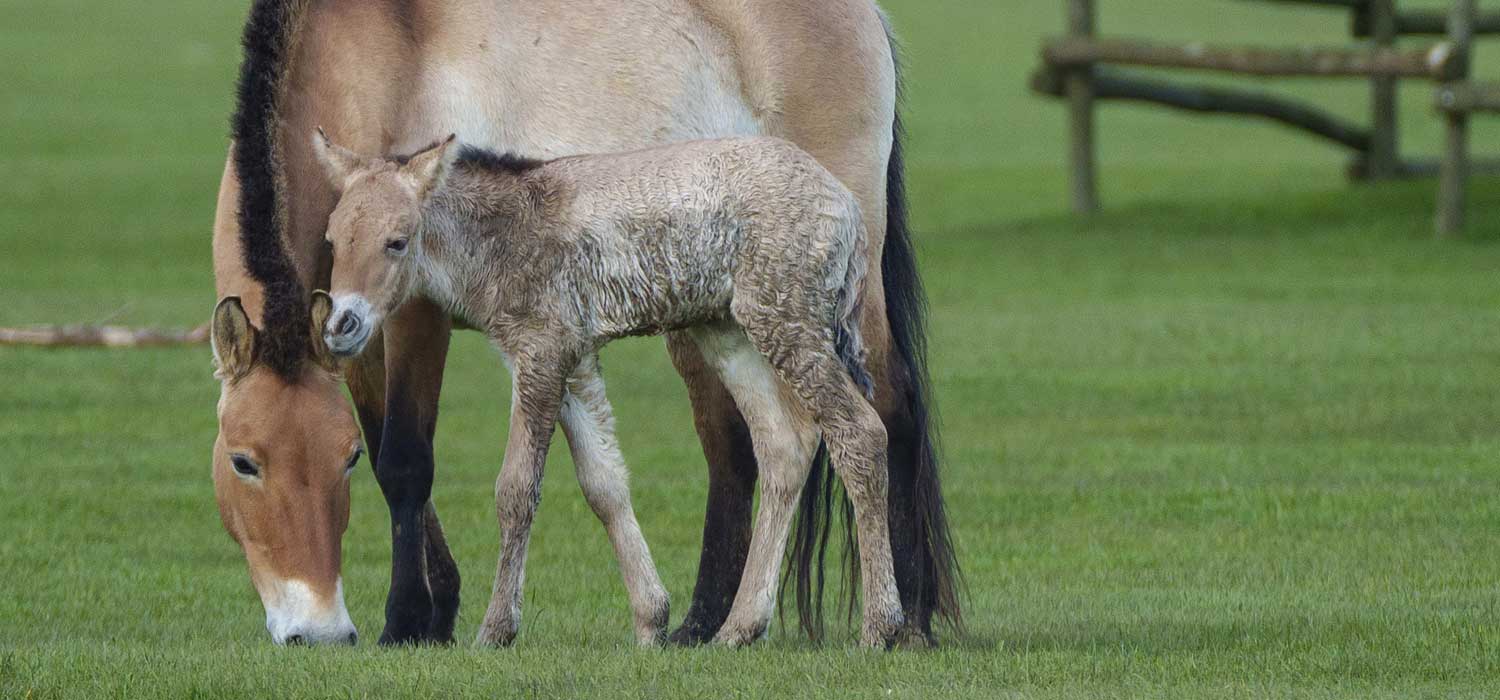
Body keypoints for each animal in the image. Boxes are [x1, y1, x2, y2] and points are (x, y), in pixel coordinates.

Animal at [312, 134, 906, 650]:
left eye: (396, 241)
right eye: (333, 240)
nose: (341, 325)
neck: (504, 233)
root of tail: (847, 205)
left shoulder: (540, 351)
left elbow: (516, 489)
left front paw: (496, 629)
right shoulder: (574, 360)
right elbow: (604, 484)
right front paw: (650, 622)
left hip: (787, 324)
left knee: (860, 434)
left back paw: (880, 626)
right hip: (729, 330)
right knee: (785, 443)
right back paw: (738, 628)